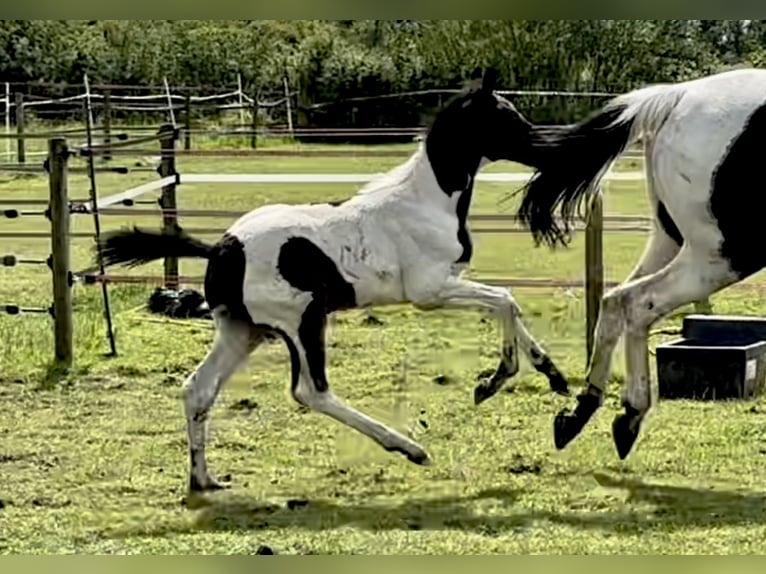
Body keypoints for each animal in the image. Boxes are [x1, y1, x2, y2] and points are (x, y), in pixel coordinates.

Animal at [99, 70, 572, 498]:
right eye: (506, 117)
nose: (551, 148)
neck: (426, 201)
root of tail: (222, 248)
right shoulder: (430, 291)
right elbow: (504, 299)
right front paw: (496, 379)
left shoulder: (451, 281)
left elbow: (508, 304)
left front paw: (553, 375)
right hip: (302, 320)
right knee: (310, 391)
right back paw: (408, 447)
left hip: (242, 330)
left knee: (198, 388)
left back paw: (203, 480)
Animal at [510, 67, 766, 462]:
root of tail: (677, 96)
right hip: (720, 256)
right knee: (638, 303)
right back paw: (630, 412)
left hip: (671, 241)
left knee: (615, 301)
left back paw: (584, 411)